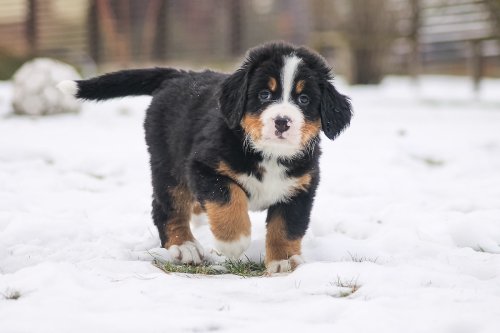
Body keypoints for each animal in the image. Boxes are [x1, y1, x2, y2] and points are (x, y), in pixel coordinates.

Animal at [59, 41, 352, 272]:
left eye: (304, 100)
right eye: (264, 95)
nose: (282, 121)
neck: (269, 155)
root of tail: (177, 75)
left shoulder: (301, 187)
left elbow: (287, 225)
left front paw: (284, 261)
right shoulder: (204, 167)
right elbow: (229, 200)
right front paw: (233, 243)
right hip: (169, 167)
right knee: (167, 207)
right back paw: (185, 246)